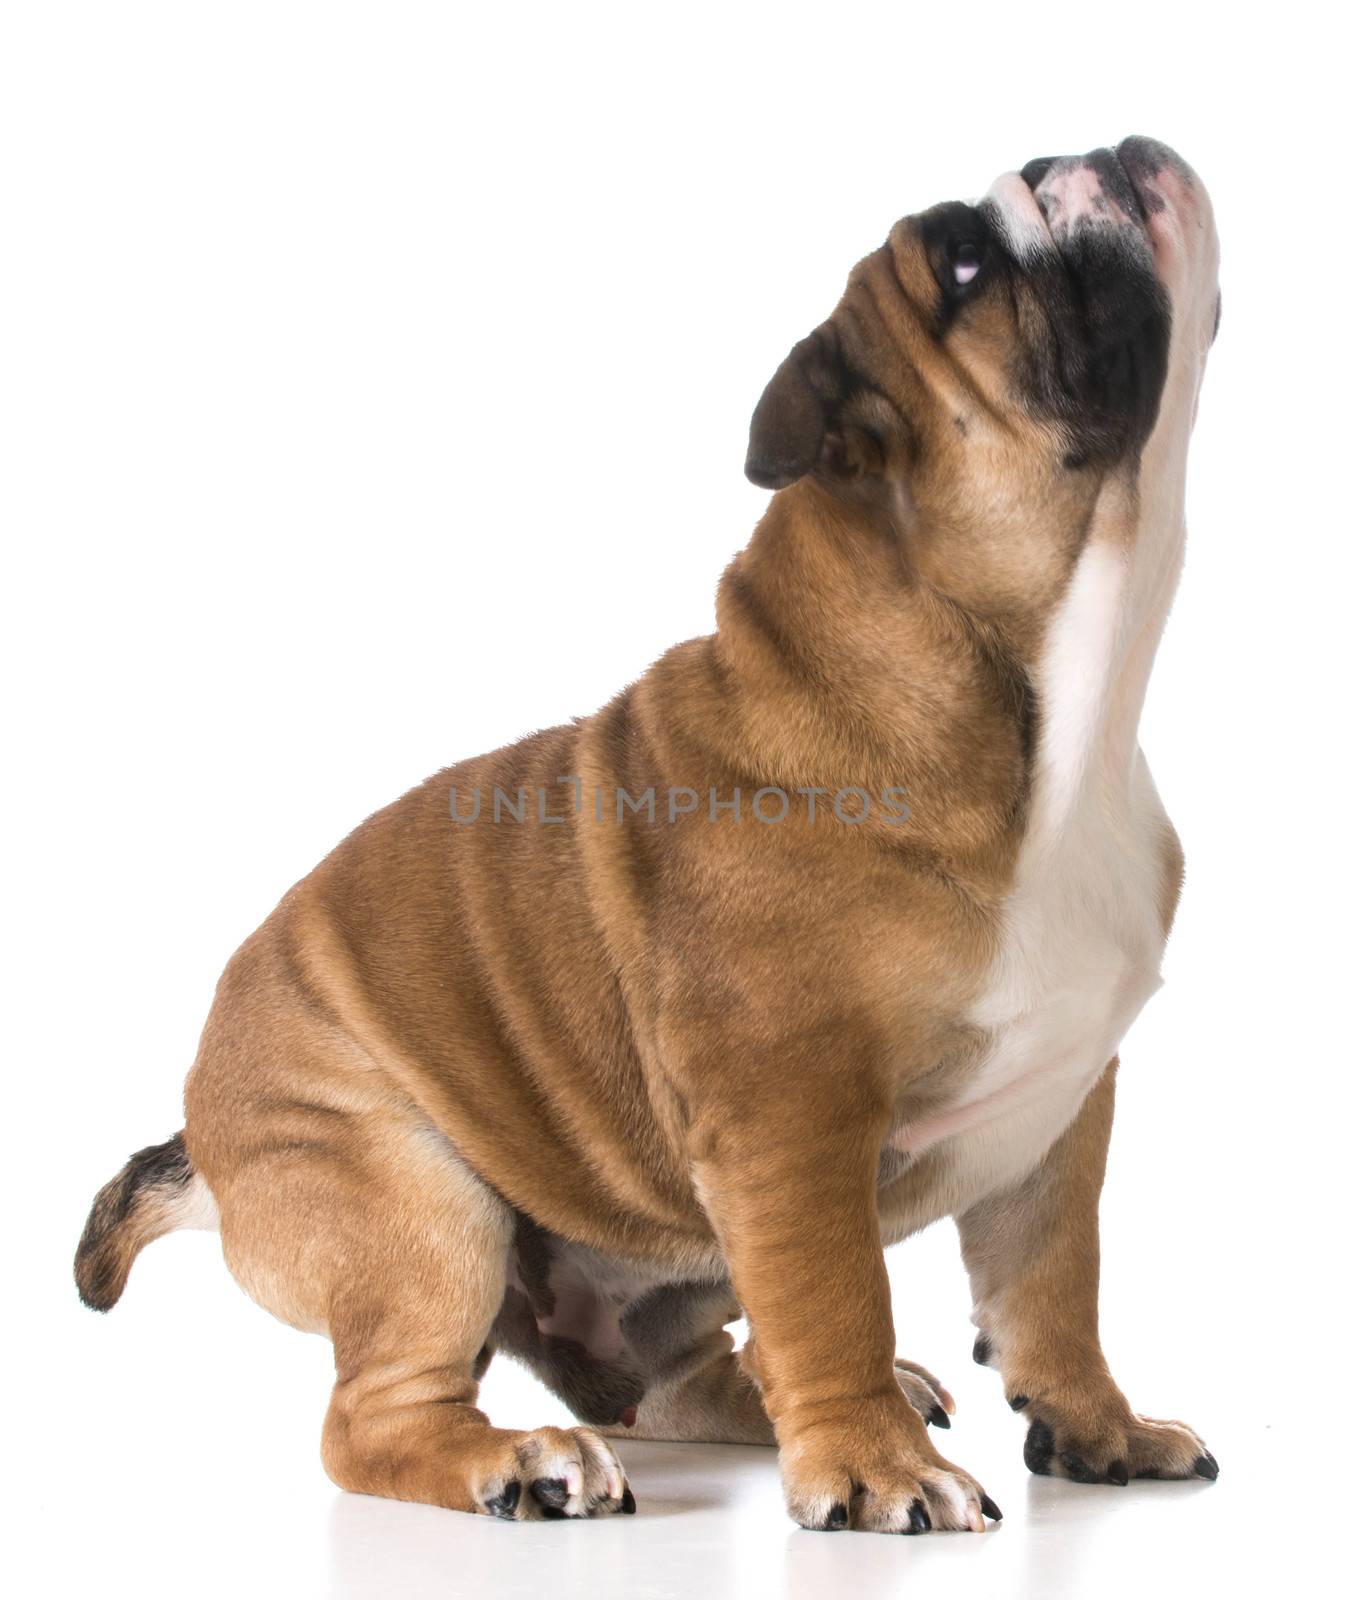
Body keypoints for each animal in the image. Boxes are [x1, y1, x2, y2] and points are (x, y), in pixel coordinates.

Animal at [76, 131, 1222, 1529]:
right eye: (961, 260)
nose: (1091, 150)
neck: (1046, 706)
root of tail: (201, 1134)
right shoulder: (790, 1114)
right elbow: (835, 1291)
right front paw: (875, 1469)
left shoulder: (1059, 1105)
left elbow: (1054, 1282)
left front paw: (1096, 1425)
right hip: (411, 1201)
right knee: (378, 1418)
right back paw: (523, 1459)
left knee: (678, 1374)